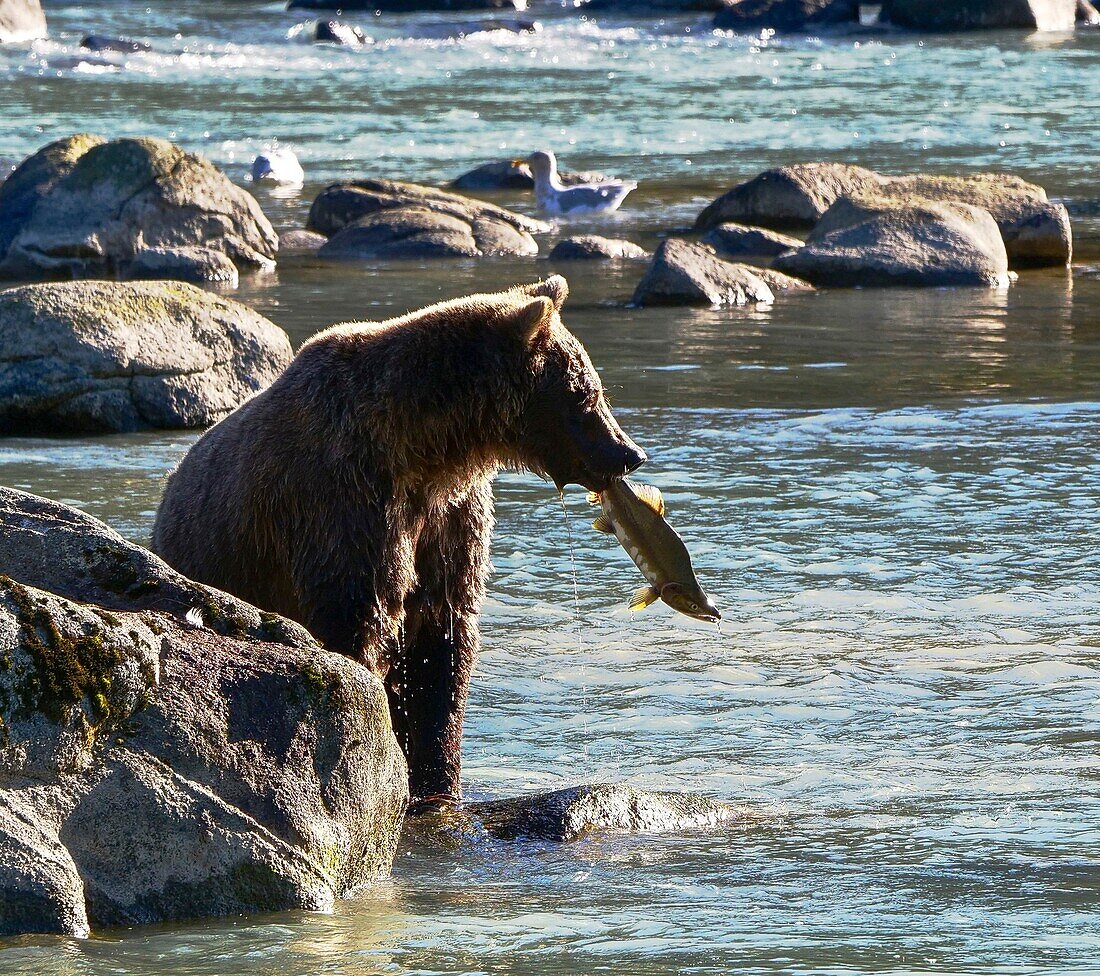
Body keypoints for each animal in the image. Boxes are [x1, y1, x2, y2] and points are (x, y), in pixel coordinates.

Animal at [148, 272, 642, 801]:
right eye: (586, 394)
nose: (629, 453)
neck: (426, 451)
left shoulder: (448, 523)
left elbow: (442, 650)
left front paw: (438, 778)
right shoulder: (346, 503)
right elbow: (357, 618)